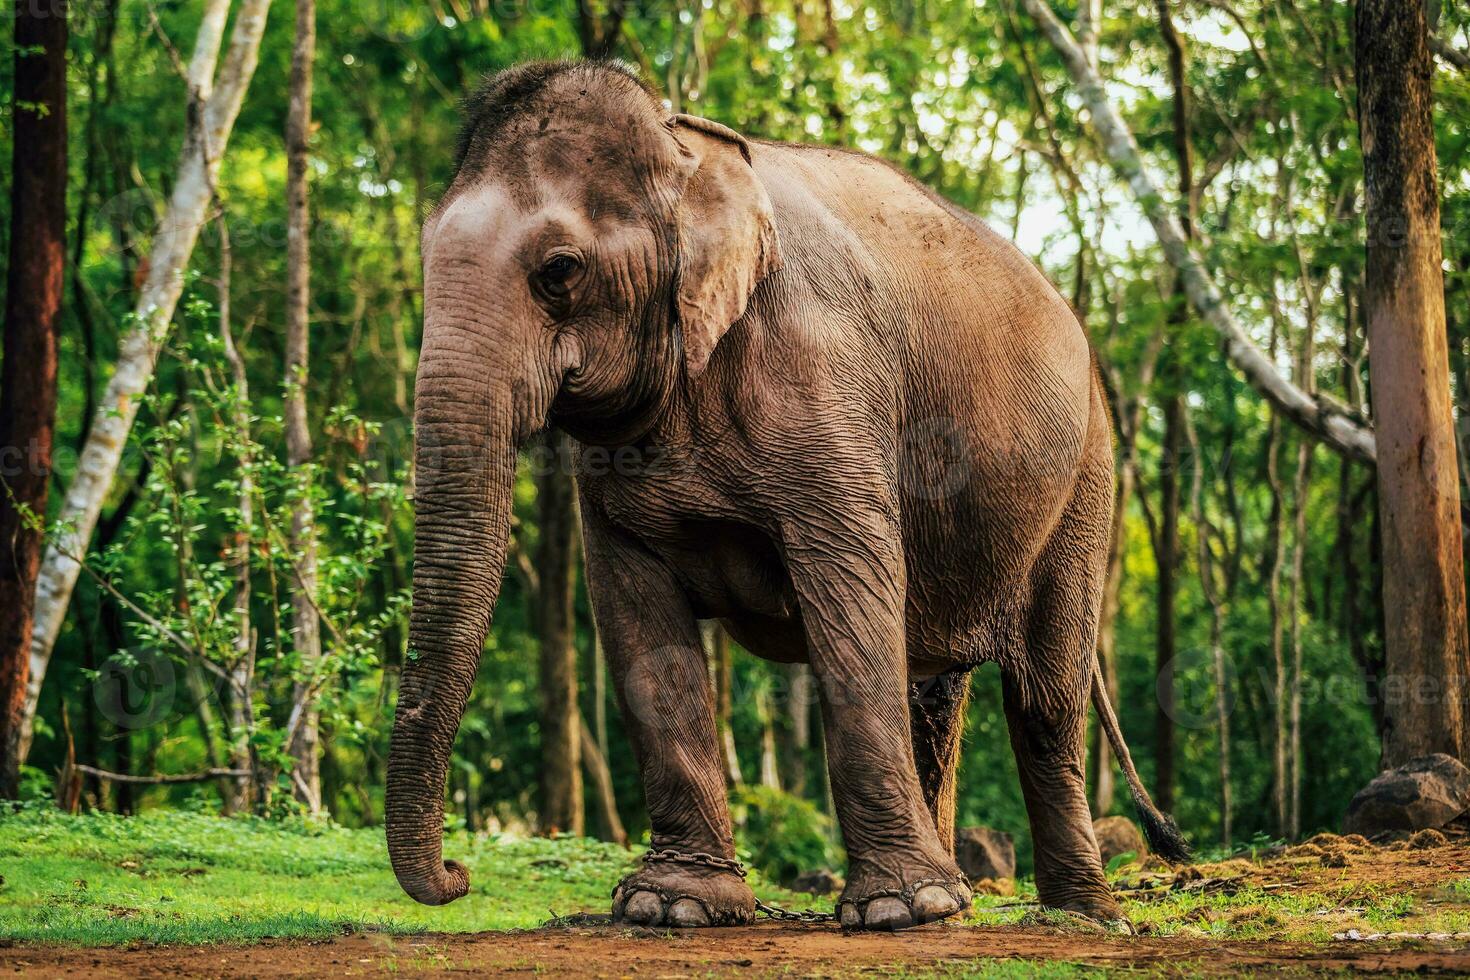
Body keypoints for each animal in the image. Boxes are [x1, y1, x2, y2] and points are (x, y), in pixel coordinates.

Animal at [385, 59, 1187, 934]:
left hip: (1086, 476)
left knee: (1045, 695)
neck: (685, 149)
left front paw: (895, 911)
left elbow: (850, 602)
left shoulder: (829, 386)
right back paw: (958, 901)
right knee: (937, 695)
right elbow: (637, 621)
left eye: (559, 270)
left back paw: (1081, 917)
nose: (458, 875)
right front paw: (674, 905)